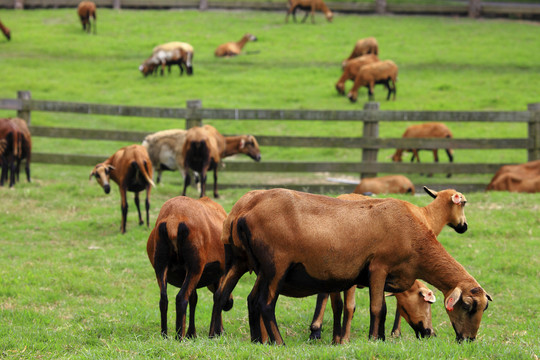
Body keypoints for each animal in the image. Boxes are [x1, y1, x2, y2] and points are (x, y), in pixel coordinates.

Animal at [147, 197, 233, 340]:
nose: (229, 304)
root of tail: (173, 220)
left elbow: (194, 298)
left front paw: (192, 333)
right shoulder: (219, 273)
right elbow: (217, 296)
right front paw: (216, 332)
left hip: (161, 264)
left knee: (163, 299)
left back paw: (165, 335)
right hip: (195, 266)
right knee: (181, 298)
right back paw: (179, 337)